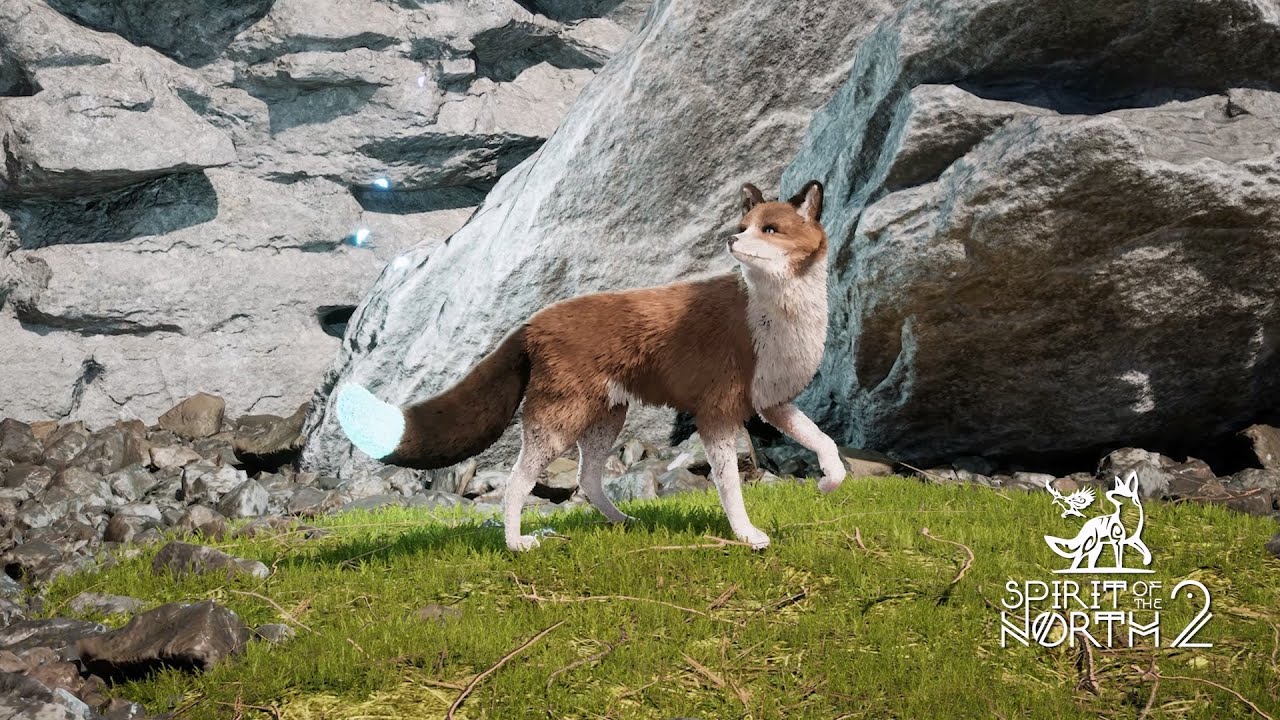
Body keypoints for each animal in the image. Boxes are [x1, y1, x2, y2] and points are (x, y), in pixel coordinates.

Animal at [334, 180, 848, 552]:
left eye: (770, 229)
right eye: (743, 226)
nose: (730, 240)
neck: (771, 317)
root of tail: (530, 323)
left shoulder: (775, 404)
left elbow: (827, 445)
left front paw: (828, 483)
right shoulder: (717, 413)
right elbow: (730, 487)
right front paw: (748, 537)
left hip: (604, 420)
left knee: (586, 480)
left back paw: (623, 521)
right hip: (559, 423)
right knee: (518, 483)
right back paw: (517, 544)